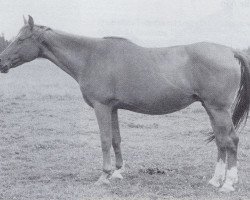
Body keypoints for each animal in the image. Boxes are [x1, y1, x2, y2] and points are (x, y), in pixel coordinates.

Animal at [0, 14, 249, 193]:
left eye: (21, 40)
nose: (2, 63)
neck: (90, 56)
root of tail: (230, 51)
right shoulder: (113, 108)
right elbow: (116, 139)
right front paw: (118, 172)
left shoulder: (101, 106)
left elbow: (104, 140)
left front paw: (104, 176)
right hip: (211, 109)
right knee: (221, 141)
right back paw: (216, 180)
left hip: (218, 109)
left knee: (231, 141)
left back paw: (228, 184)